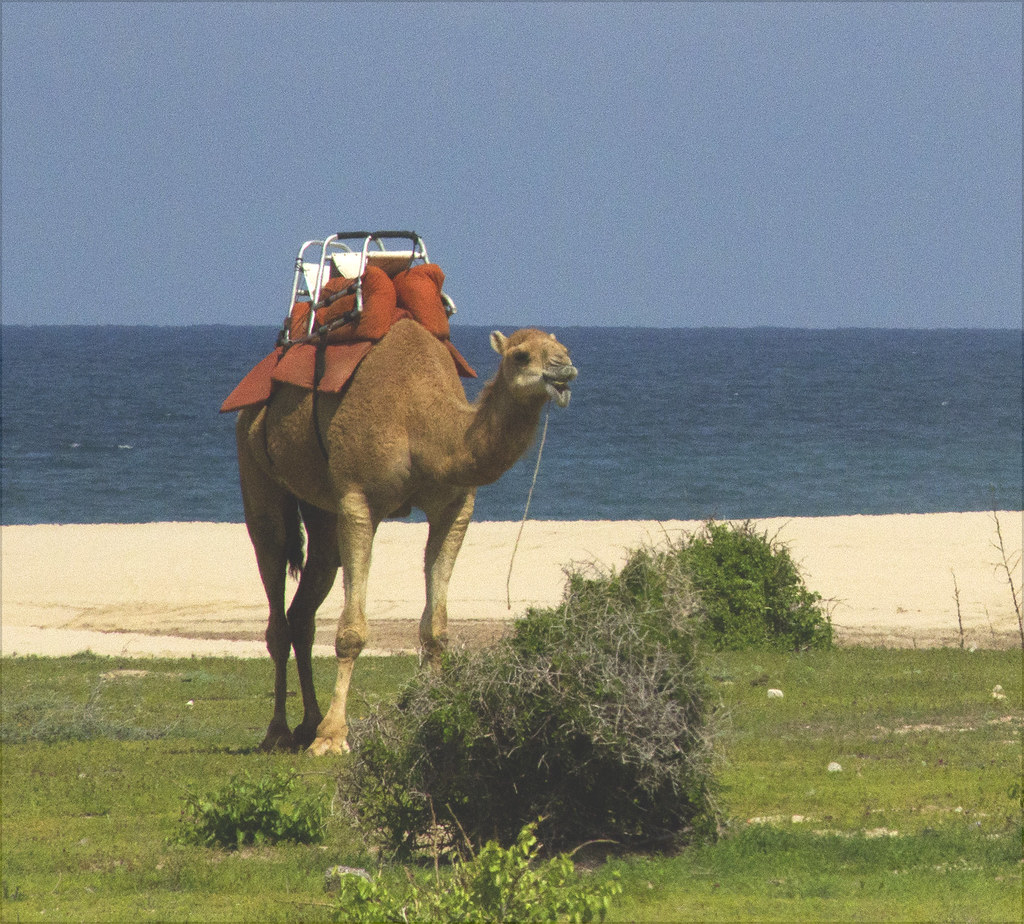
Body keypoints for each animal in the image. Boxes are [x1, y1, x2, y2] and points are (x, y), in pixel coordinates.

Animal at [234, 318, 577, 754]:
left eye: (564, 348)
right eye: (521, 355)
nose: (564, 370)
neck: (421, 422)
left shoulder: (455, 508)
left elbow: (436, 628)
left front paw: (436, 713)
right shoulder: (358, 501)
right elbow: (350, 632)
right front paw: (333, 736)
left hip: (321, 513)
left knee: (305, 608)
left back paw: (308, 723)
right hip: (253, 463)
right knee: (274, 571)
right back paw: (279, 731)